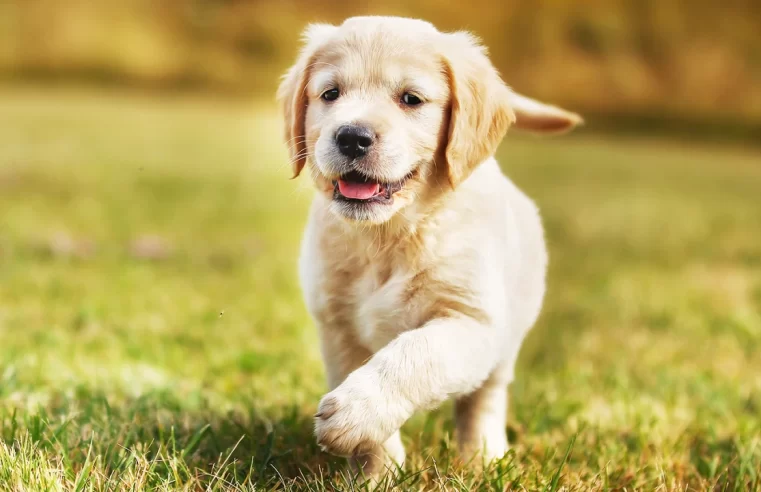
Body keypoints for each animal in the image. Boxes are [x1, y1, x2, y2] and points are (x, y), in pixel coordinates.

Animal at [276, 14, 580, 476]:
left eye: (411, 99)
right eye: (330, 94)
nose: (352, 136)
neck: (389, 235)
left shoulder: (472, 321)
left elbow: (415, 353)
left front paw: (356, 413)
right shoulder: (338, 329)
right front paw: (378, 472)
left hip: (507, 338)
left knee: (485, 399)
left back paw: (483, 457)